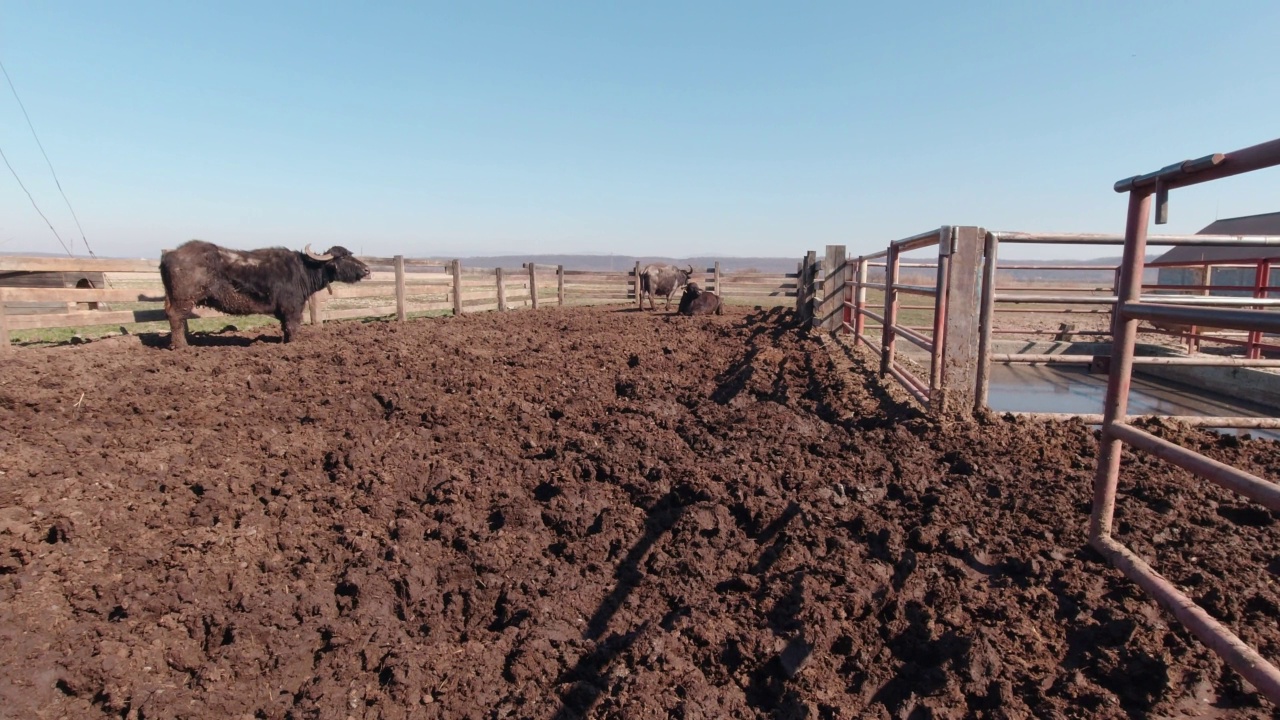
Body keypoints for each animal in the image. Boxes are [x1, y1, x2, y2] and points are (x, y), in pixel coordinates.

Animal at [160, 240, 371, 348]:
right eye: (342, 257)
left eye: (350, 254)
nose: (367, 269)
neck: (304, 270)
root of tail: (169, 255)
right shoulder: (292, 308)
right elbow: (293, 327)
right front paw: (292, 344)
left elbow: (285, 328)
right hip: (184, 299)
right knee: (176, 318)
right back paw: (181, 346)